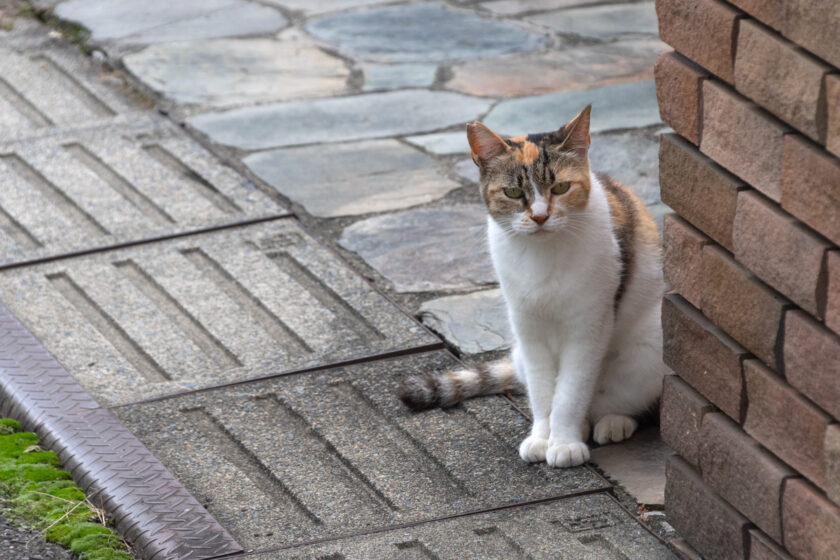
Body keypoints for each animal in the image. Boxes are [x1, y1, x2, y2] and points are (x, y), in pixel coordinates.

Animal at [398, 105, 668, 468]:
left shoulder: (587, 329)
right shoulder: (528, 329)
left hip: (648, 350)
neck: (542, 256)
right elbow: (543, 393)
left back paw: (612, 422)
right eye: (513, 193)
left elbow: (570, 393)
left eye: (561, 187)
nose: (540, 216)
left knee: (619, 399)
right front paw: (542, 437)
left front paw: (564, 442)